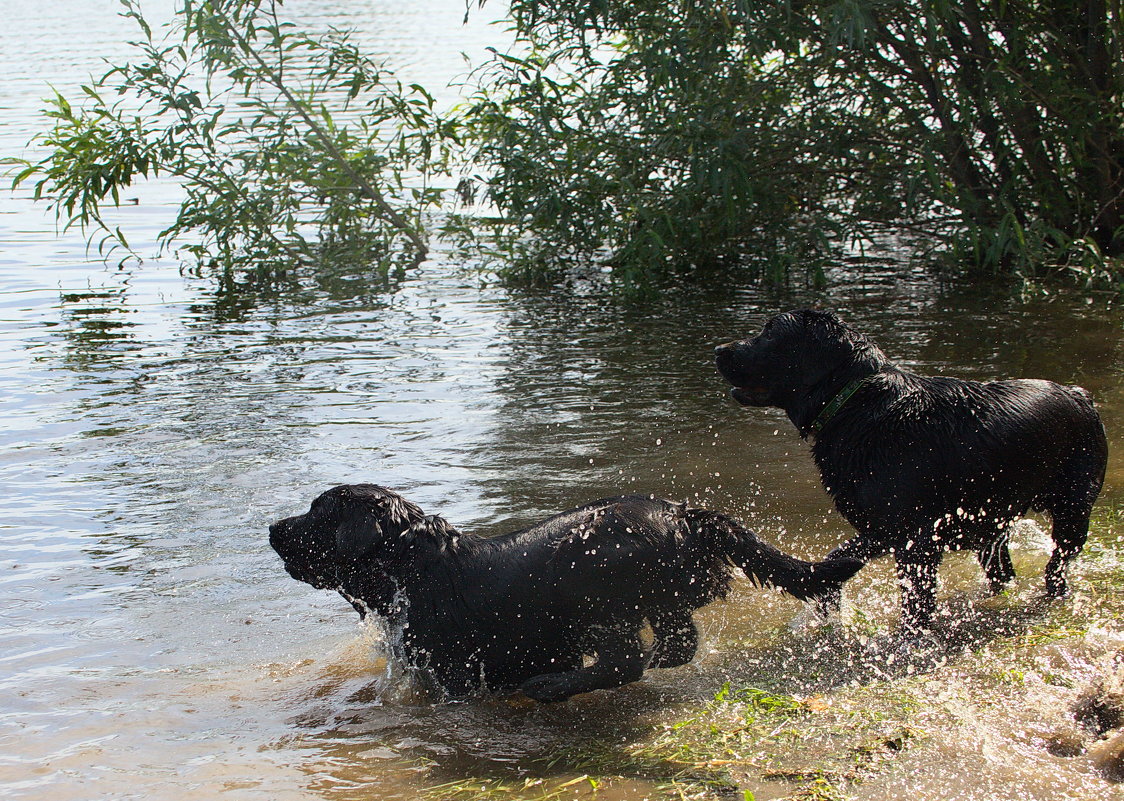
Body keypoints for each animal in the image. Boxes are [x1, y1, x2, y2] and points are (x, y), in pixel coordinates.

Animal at [269, 480, 858, 701]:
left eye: (317, 513)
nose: (273, 526)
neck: (413, 568)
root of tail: (684, 514)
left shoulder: (451, 669)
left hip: (594, 584)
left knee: (626, 662)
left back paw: (552, 685)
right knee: (673, 645)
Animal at [714, 310, 1110, 629]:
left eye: (770, 332)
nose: (718, 349)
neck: (854, 403)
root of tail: (1080, 395)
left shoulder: (916, 539)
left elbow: (916, 603)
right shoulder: (882, 528)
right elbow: (837, 558)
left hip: (1073, 508)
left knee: (1056, 568)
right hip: (991, 522)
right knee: (1003, 574)